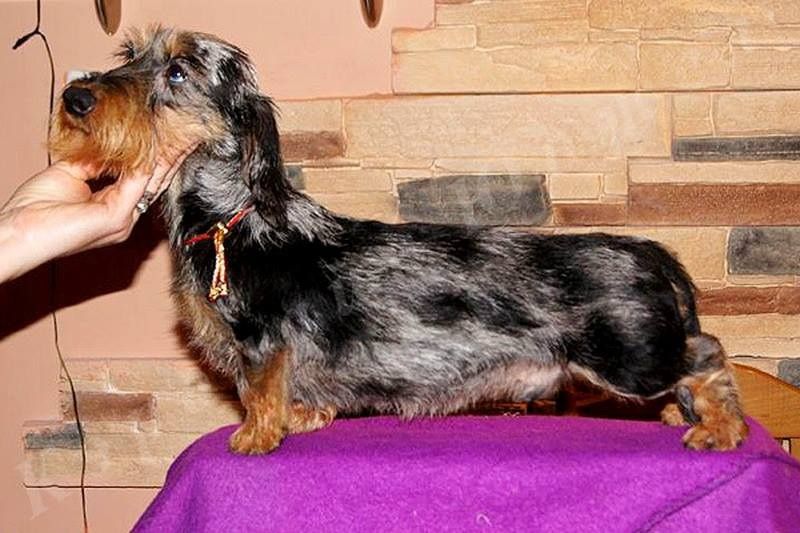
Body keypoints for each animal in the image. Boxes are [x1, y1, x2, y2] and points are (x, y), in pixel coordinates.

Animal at [49, 27, 748, 454]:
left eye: (177, 72)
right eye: (129, 55)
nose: (74, 97)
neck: (232, 218)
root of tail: (656, 255)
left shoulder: (260, 341)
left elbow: (258, 391)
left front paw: (256, 437)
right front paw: (304, 419)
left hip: (628, 357)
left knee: (709, 354)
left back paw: (719, 428)